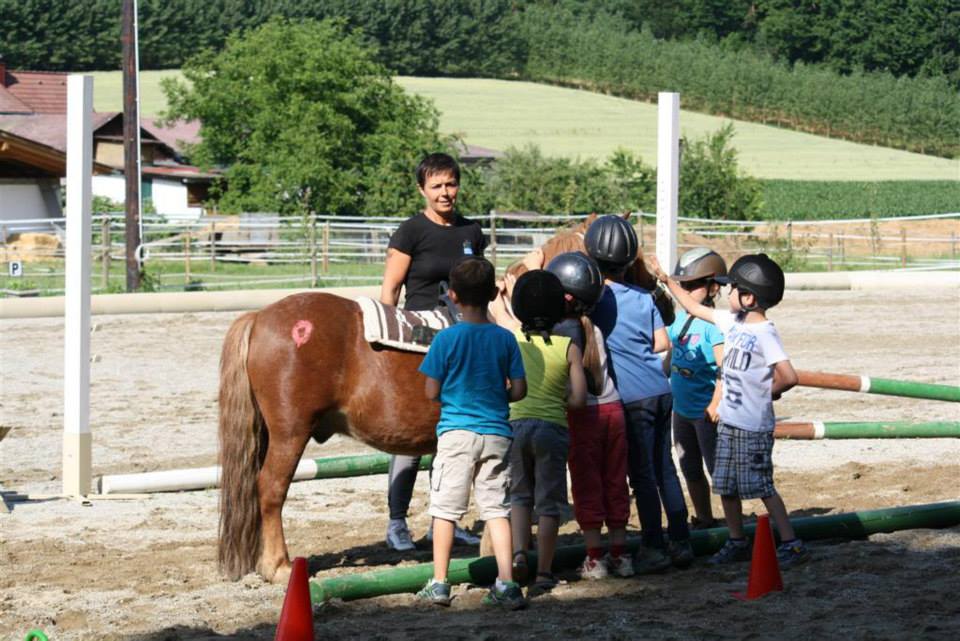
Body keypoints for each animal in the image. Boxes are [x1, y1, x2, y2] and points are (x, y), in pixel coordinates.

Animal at [218, 212, 668, 584]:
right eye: (633, 254)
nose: (659, 292)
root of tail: (259, 317)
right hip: (291, 432)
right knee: (270, 488)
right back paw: (278, 566)